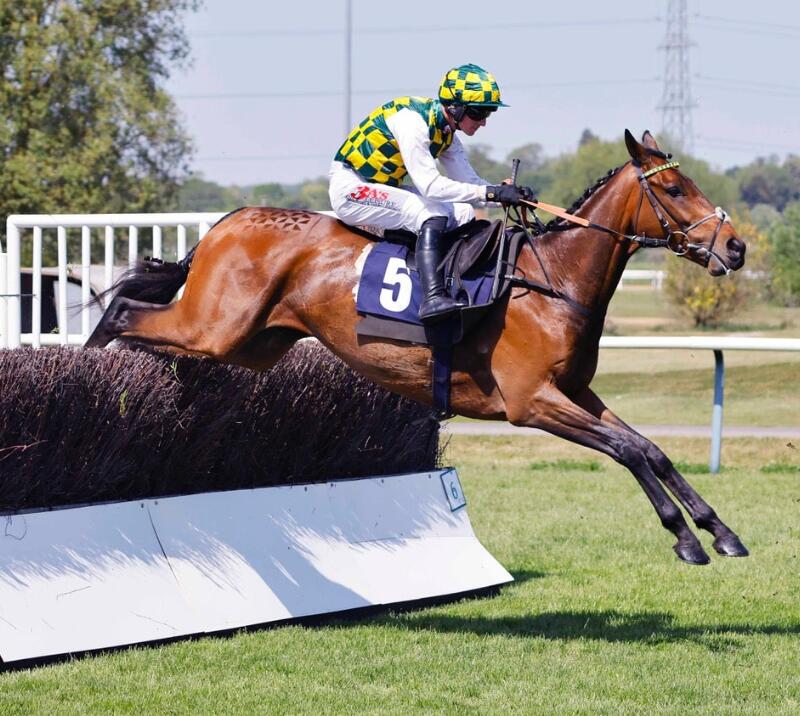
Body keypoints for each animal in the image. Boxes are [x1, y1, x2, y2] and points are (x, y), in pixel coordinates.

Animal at [87, 130, 749, 566]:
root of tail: (226, 223)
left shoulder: (574, 391)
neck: (551, 281)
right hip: (215, 327)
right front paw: (685, 538)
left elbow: (652, 449)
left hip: (253, 343)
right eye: (674, 187)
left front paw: (721, 531)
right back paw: (98, 370)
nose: (736, 247)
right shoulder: (531, 402)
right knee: (122, 310)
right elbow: (629, 452)